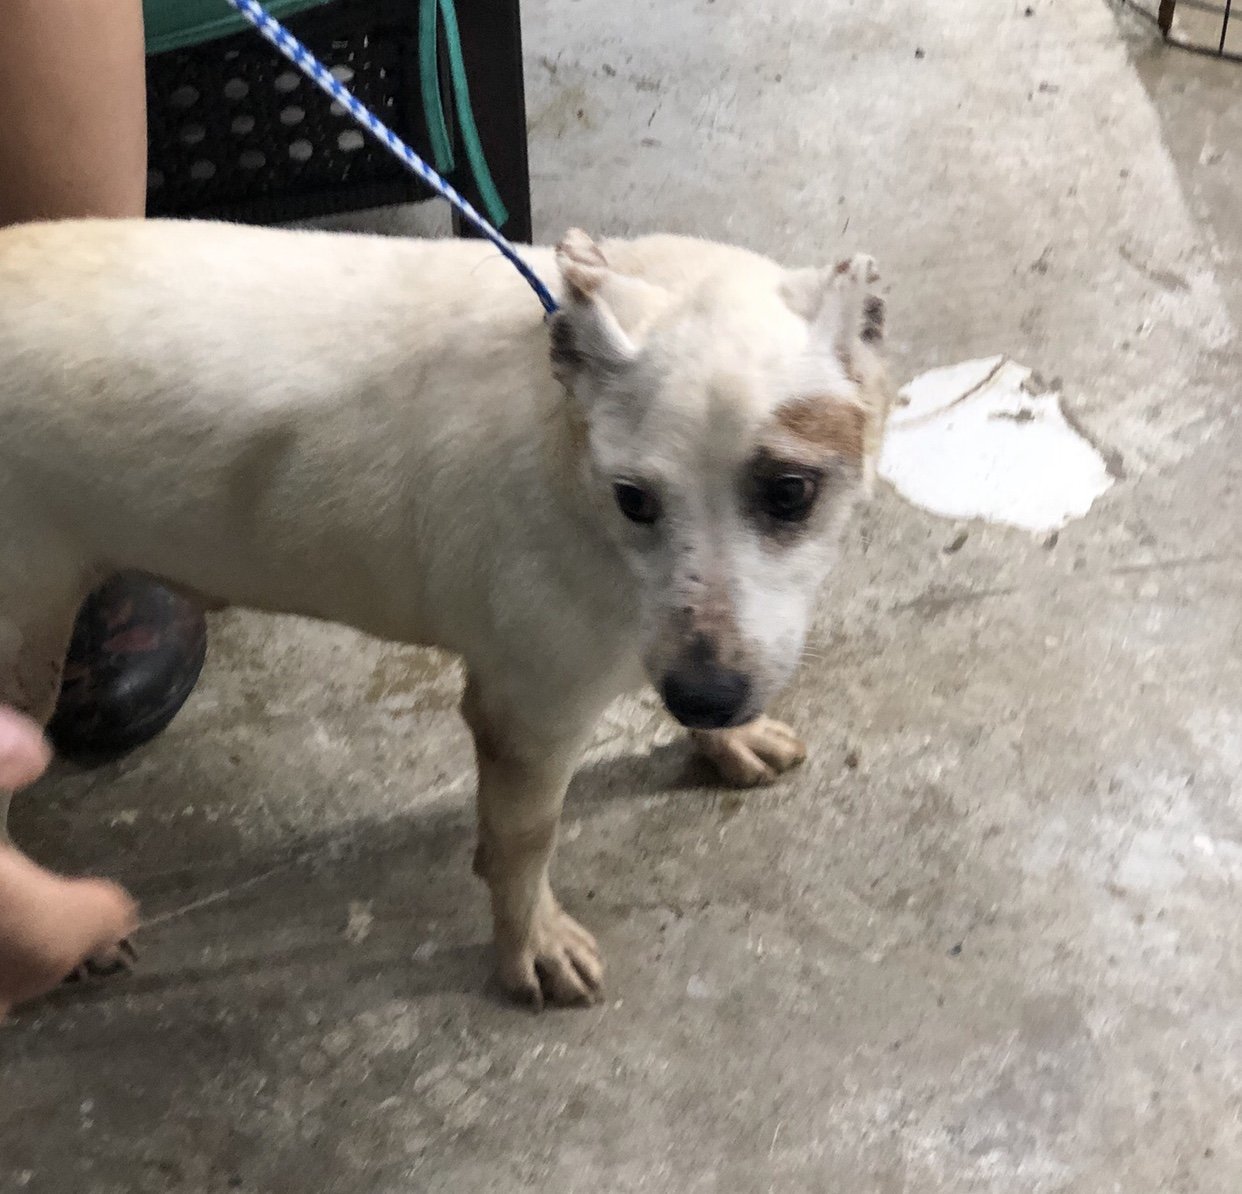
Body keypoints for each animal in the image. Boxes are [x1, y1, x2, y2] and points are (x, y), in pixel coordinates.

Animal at [0, 218, 894, 1003]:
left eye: (789, 491)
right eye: (635, 499)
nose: (706, 697)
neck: (564, 431)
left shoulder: (668, 642)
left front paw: (728, 735)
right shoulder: (528, 715)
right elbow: (521, 844)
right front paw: (531, 942)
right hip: (24, 649)